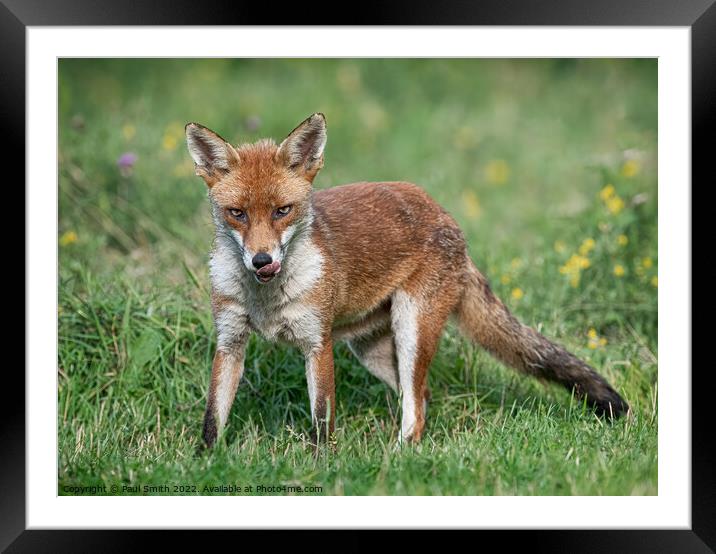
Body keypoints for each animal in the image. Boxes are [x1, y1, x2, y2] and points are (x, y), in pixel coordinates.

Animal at [185, 112, 628, 448]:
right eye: (237, 214)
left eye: (283, 210)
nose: (262, 261)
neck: (267, 300)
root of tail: (445, 215)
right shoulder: (230, 341)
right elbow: (212, 417)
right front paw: (206, 462)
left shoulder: (317, 342)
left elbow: (322, 419)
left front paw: (322, 465)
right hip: (374, 350)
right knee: (423, 396)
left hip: (411, 329)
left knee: (416, 408)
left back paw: (400, 455)